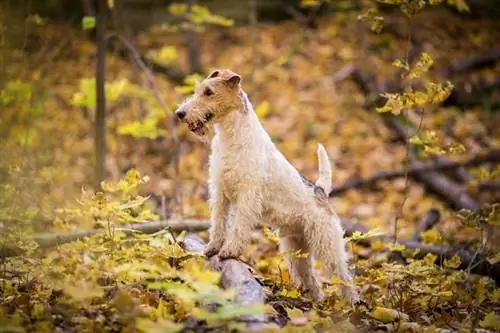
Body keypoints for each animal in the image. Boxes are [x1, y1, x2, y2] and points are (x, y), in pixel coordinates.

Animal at [174, 68, 358, 300]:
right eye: (199, 90)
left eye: (209, 92)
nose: (180, 113)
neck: (231, 136)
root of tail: (321, 192)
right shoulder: (220, 191)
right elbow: (218, 223)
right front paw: (212, 248)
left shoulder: (247, 194)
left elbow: (238, 227)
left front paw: (229, 251)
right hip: (295, 248)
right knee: (312, 280)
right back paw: (317, 301)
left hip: (327, 244)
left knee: (345, 278)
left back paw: (351, 303)